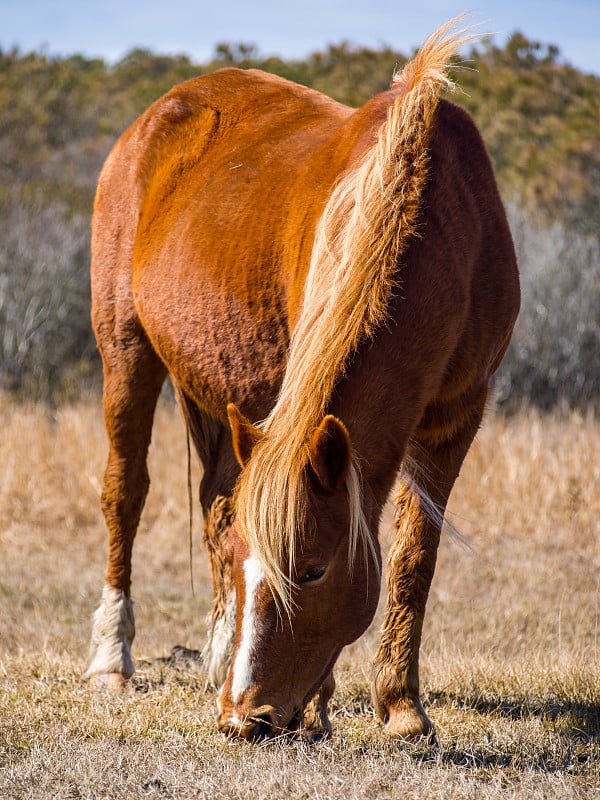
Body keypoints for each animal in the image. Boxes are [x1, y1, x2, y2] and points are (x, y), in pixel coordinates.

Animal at [85, 18, 520, 740]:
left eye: (312, 571)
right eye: (249, 564)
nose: (246, 718)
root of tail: (163, 111)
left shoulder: (458, 417)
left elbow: (413, 557)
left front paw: (402, 708)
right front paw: (324, 706)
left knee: (215, 497)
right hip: (125, 349)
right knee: (126, 492)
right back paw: (111, 662)